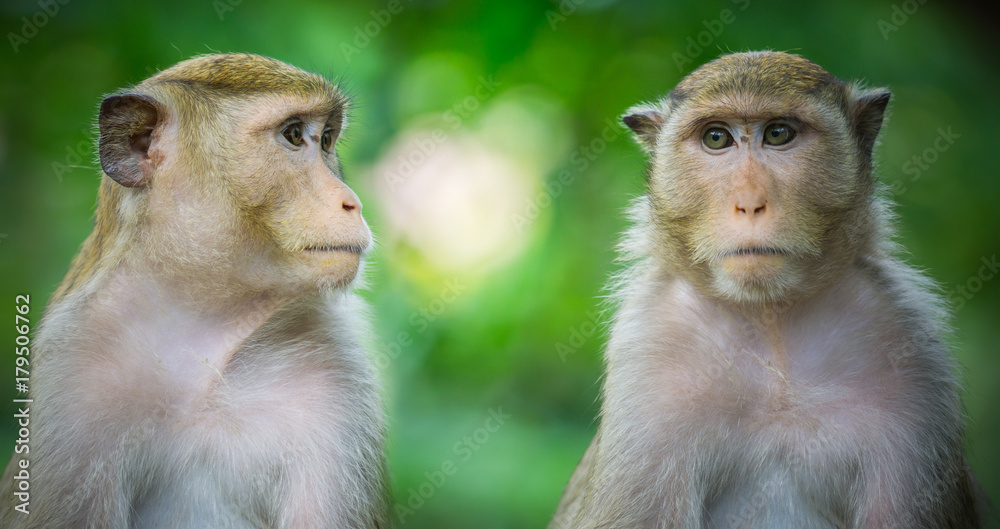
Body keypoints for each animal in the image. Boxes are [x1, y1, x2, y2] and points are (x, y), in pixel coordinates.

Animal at [1, 53, 392, 528]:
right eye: (294, 135)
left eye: (327, 139)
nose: (352, 202)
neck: (204, 327)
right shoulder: (73, 369)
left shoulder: (337, 369)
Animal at [552, 50, 980, 528]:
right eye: (716, 138)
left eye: (778, 134)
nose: (750, 202)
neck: (771, 321)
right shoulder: (648, 355)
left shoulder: (912, 354)